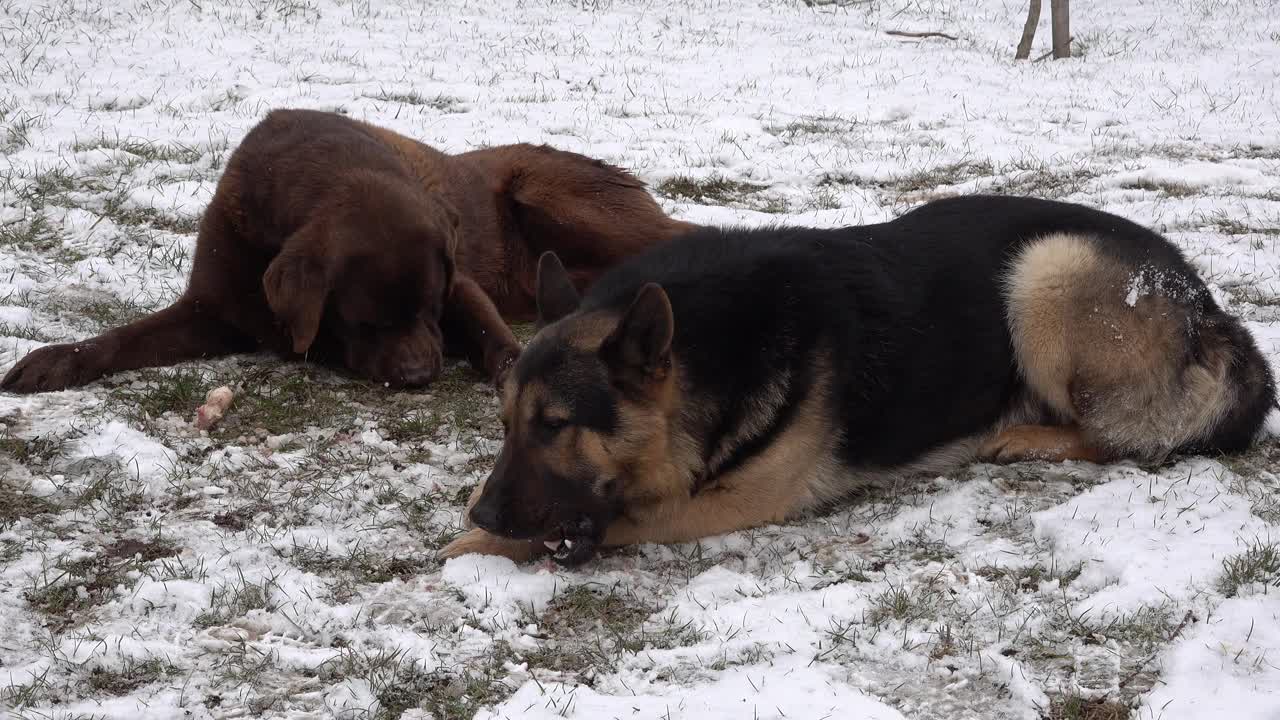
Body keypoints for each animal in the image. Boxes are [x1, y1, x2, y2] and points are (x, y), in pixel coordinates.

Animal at [437, 193, 1269, 563]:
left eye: (556, 426)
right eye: (507, 425)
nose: (491, 514)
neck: (717, 348)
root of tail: (1206, 301)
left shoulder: (736, 501)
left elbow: (616, 517)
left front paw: (472, 545)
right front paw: (475, 522)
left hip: (1045, 271)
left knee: (1125, 434)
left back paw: (1028, 436)